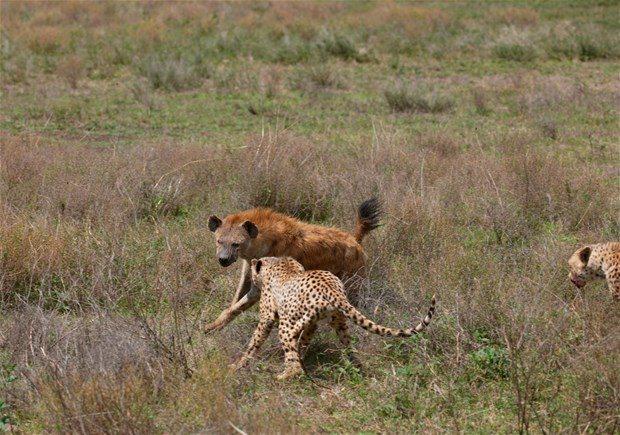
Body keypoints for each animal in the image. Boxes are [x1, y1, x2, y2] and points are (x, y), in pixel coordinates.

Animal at [206, 198, 380, 334]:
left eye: (236, 244)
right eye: (219, 241)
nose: (223, 259)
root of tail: (355, 240)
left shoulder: (265, 283)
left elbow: (239, 305)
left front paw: (211, 327)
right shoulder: (248, 270)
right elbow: (236, 299)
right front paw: (217, 324)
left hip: (353, 279)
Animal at [232, 258, 436, 380]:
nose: (251, 280)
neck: (275, 261)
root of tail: (332, 288)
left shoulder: (268, 317)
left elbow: (255, 340)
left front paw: (239, 363)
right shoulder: (311, 324)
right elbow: (304, 340)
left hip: (287, 326)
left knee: (292, 355)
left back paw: (285, 375)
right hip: (338, 322)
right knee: (348, 347)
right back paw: (356, 368)